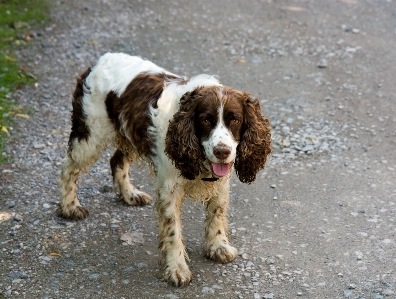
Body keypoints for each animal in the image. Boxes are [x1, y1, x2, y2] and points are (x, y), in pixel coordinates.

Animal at [57, 52, 270, 288]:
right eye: (206, 120)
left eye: (235, 119)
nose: (222, 151)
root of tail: (98, 61)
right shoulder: (170, 188)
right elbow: (172, 230)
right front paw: (177, 269)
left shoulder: (220, 184)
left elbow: (217, 214)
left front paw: (218, 247)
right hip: (90, 135)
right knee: (67, 168)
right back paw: (69, 207)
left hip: (130, 135)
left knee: (116, 161)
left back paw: (130, 195)